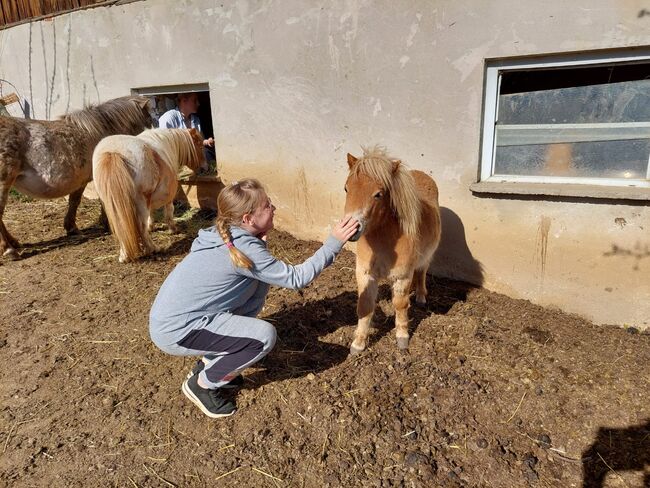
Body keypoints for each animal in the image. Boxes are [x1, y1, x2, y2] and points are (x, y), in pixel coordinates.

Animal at [0, 96, 151, 262]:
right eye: (149, 117)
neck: (100, 131)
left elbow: (74, 201)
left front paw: (71, 227)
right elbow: (92, 200)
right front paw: (103, 223)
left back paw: (14, 242)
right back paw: (9, 250)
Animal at [92, 127, 204, 262]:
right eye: (200, 145)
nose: (204, 168)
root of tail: (112, 152)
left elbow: (151, 212)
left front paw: (152, 226)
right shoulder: (168, 196)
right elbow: (169, 212)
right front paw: (173, 229)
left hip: (113, 204)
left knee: (121, 227)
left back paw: (124, 256)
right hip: (140, 200)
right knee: (141, 226)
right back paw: (153, 248)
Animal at [342, 146, 438, 354]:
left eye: (378, 194)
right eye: (346, 188)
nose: (351, 229)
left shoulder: (402, 277)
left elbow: (400, 305)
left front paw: (402, 338)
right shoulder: (365, 274)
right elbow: (365, 306)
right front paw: (358, 344)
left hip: (426, 257)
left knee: (421, 273)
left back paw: (421, 297)